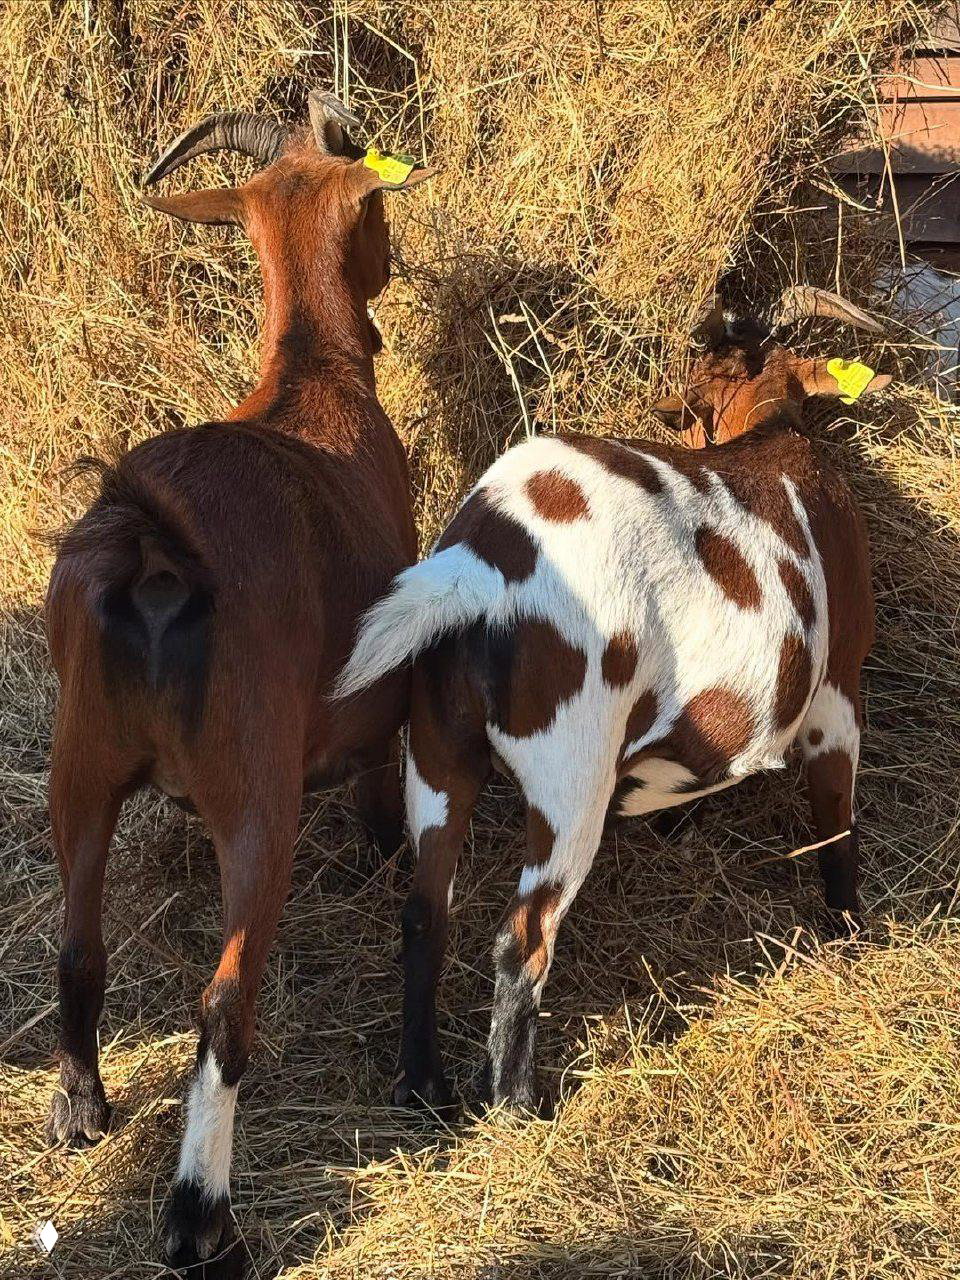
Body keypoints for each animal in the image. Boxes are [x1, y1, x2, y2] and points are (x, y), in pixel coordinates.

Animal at [45, 91, 430, 1273]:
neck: (313, 377)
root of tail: (154, 551)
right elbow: (384, 802)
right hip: (255, 794)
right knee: (223, 1005)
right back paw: (198, 1216)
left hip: (79, 762)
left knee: (78, 942)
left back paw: (80, 1107)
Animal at [335, 287, 887, 1116]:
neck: (772, 438)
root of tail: (478, 567)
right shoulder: (835, 688)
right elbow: (836, 819)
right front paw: (848, 927)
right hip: (572, 775)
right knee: (524, 938)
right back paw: (517, 1103)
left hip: (437, 749)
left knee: (425, 914)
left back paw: (423, 1084)